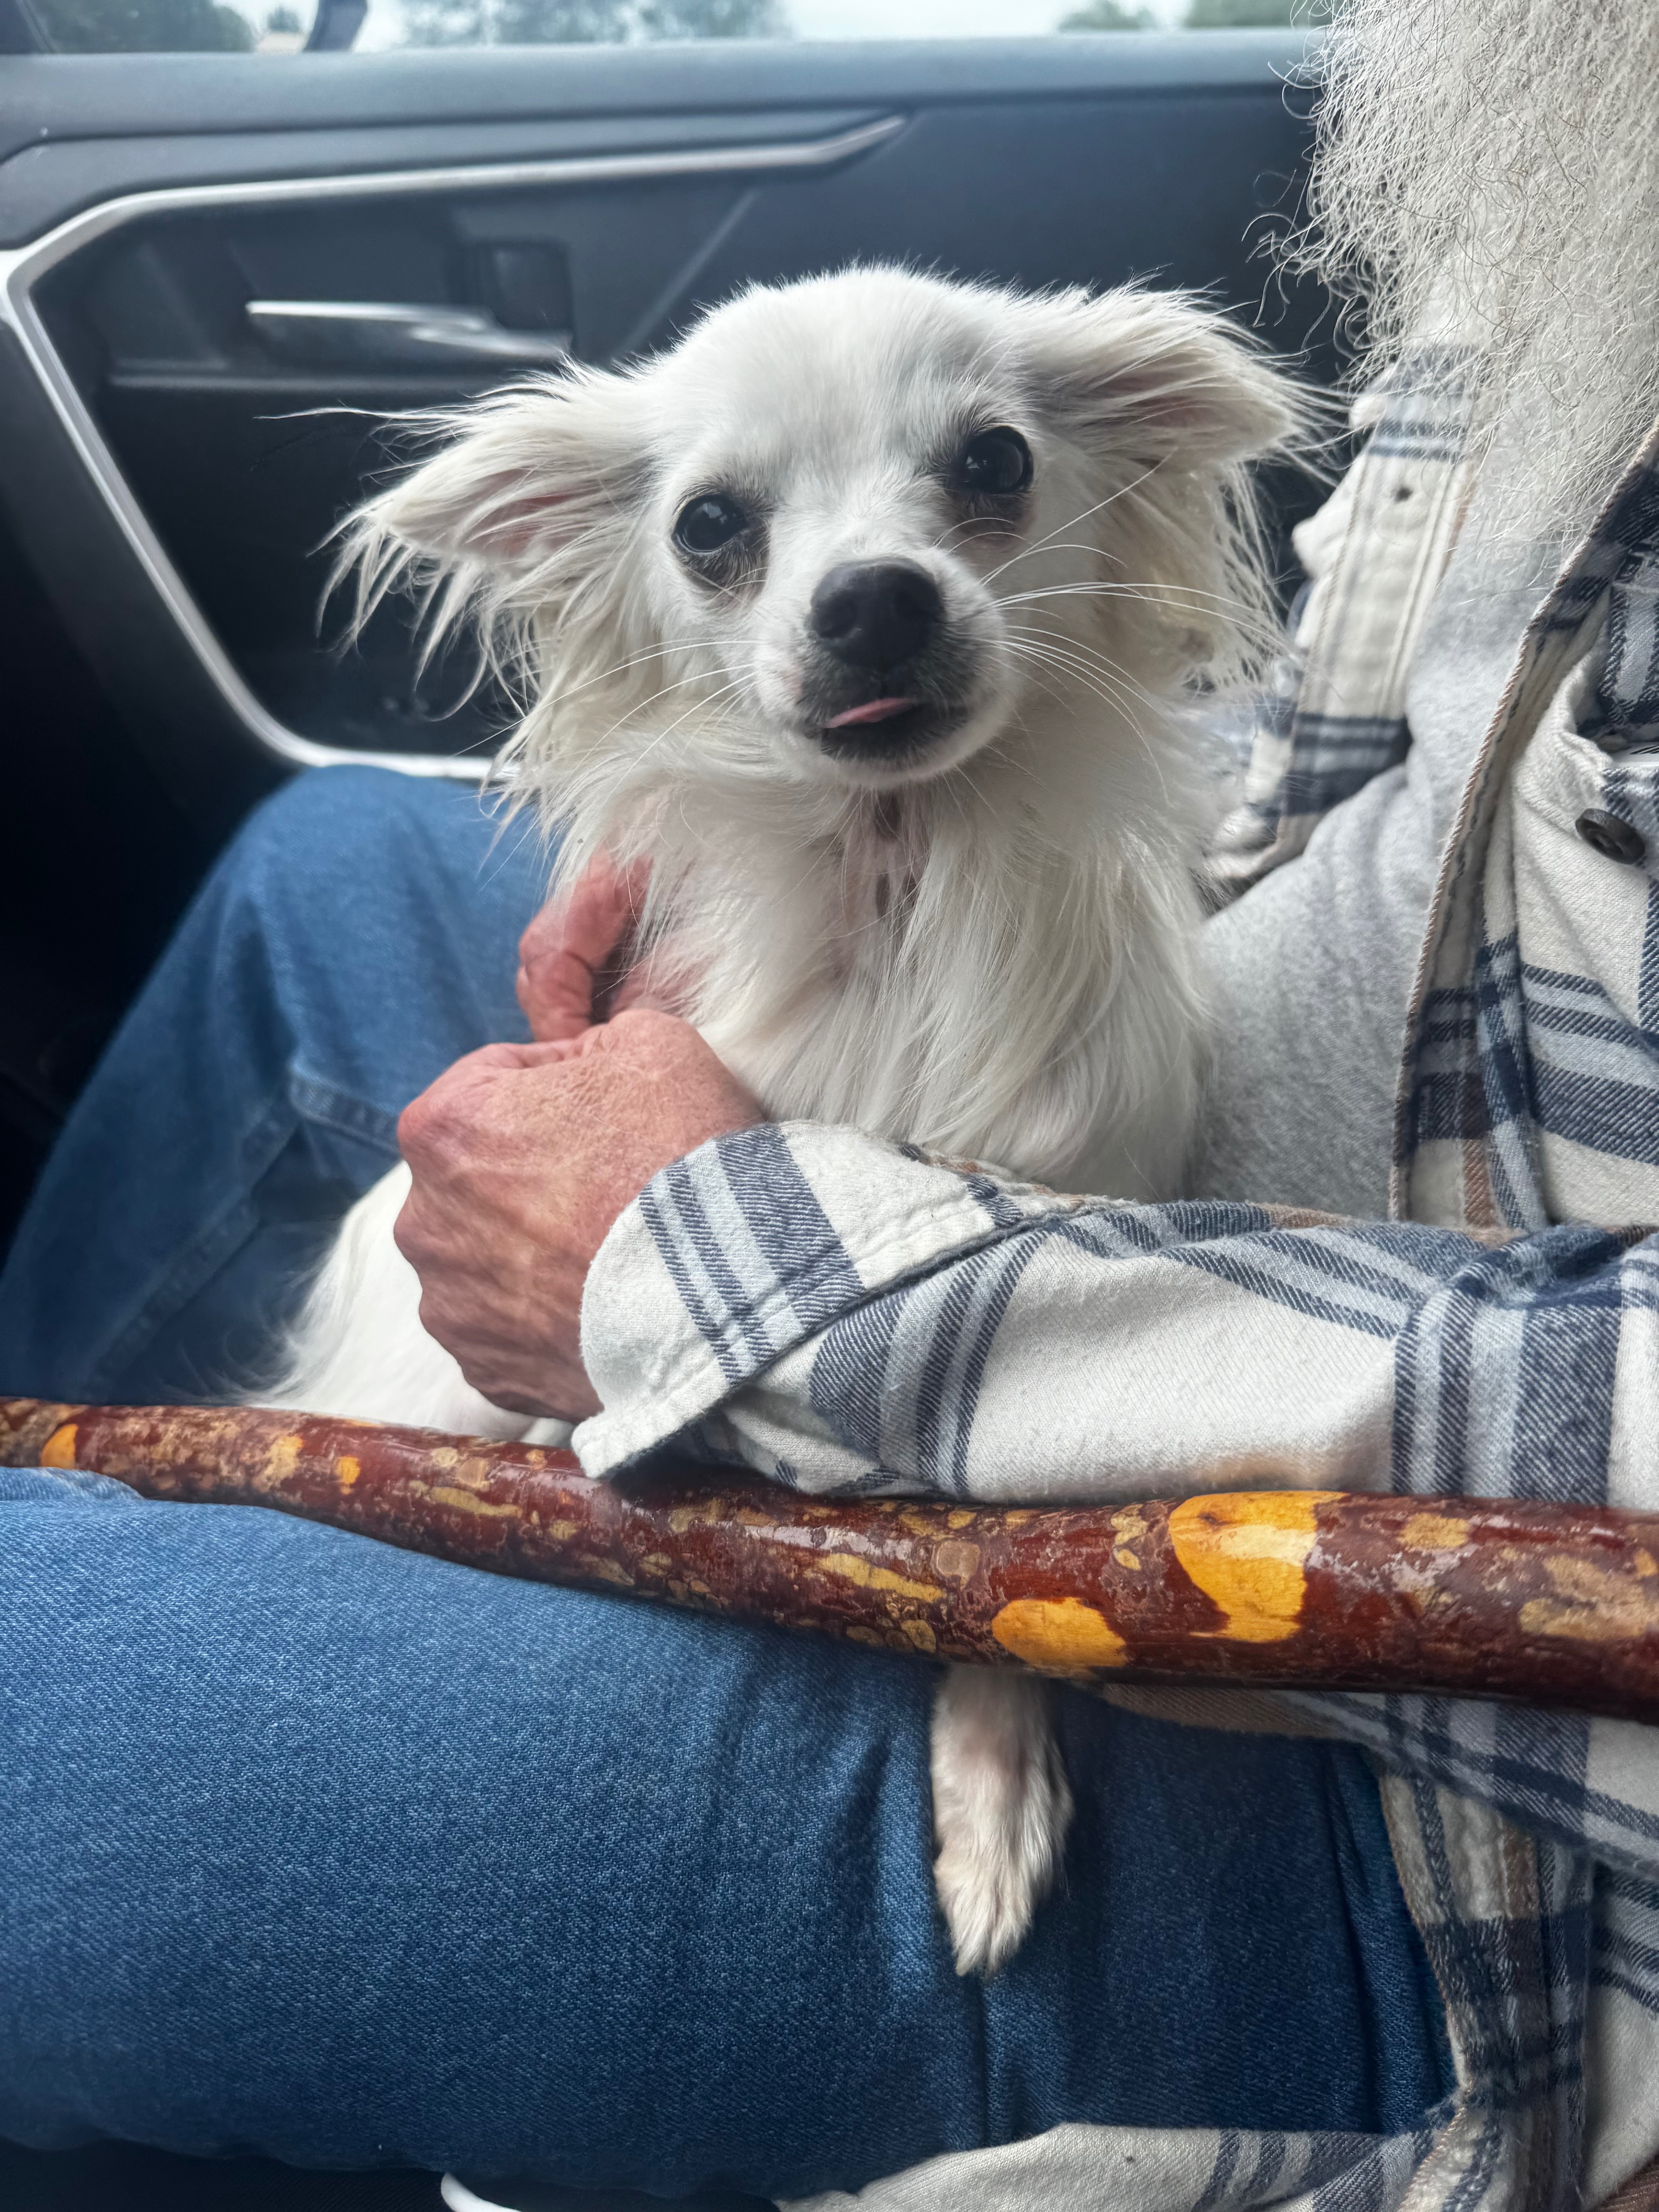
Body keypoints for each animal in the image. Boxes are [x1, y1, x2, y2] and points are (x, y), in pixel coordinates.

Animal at [270, 266, 1303, 1976]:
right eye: (708, 527)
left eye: (994, 463)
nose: (876, 598)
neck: (897, 880)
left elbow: (988, 1556)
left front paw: (990, 1785)